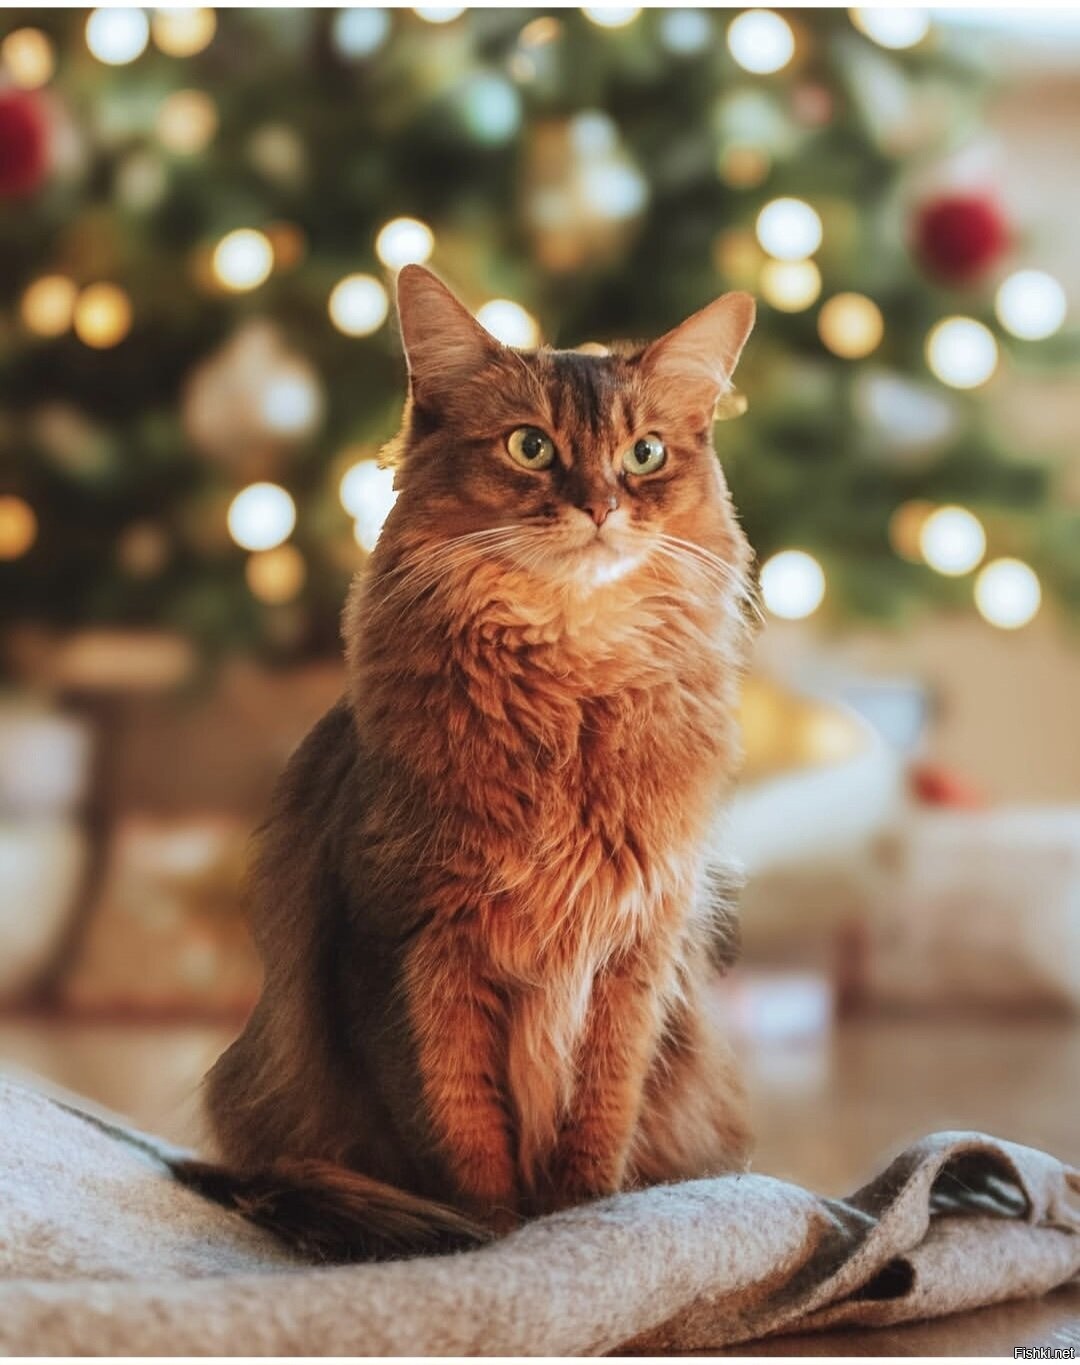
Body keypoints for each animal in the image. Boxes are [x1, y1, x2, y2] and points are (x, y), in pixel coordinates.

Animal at [173, 265, 758, 1262]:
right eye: (531, 446)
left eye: (643, 455)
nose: (600, 504)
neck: (568, 694)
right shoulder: (409, 947)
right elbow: (460, 1128)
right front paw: (495, 1242)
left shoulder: (634, 953)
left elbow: (599, 1118)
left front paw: (586, 1224)